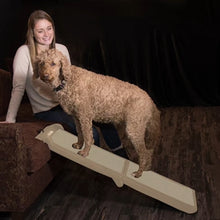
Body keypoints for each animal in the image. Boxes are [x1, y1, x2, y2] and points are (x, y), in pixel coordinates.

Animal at [35, 48, 161, 177]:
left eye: (53, 63)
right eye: (42, 63)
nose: (44, 75)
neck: (67, 81)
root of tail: (150, 101)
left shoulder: (85, 116)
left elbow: (88, 136)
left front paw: (85, 152)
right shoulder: (76, 117)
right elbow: (79, 132)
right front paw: (79, 145)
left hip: (134, 129)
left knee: (144, 152)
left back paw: (139, 172)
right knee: (148, 152)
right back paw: (146, 168)